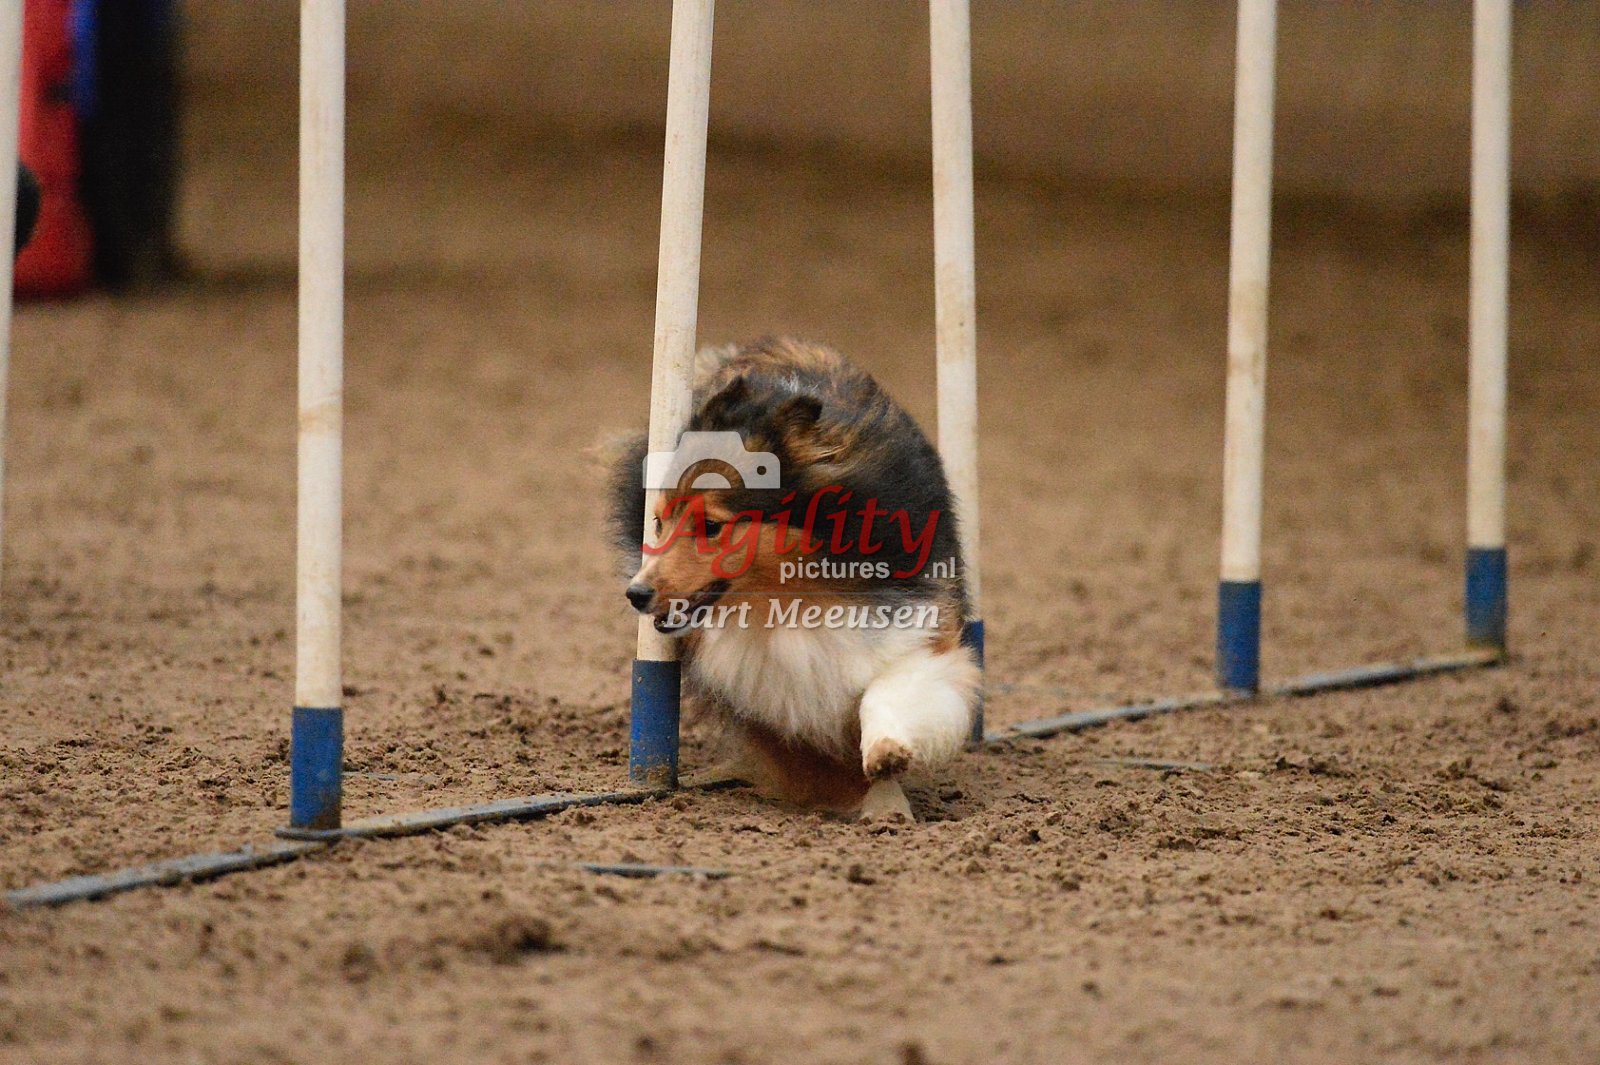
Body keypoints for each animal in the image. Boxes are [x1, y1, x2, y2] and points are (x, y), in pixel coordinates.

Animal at [610, 337, 978, 820]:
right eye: (658, 522)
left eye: (711, 525)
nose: (636, 593)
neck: (798, 598)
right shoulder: (765, 687)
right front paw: (867, 800)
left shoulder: (914, 626)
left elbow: (890, 689)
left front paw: (886, 761)